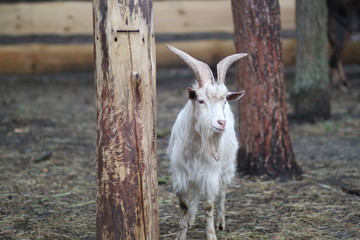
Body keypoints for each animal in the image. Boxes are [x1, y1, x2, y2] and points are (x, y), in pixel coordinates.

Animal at [167, 45, 248, 240]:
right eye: (201, 100)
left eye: (224, 100)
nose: (221, 123)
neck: (195, 146)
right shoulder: (180, 173)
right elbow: (183, 204)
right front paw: (182, 232)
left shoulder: (210, 172)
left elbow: (209, 204)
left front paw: (211, 234)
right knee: (195, 192)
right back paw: (191, 218)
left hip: (226, 166)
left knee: (223, 191)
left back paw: (221, 222)